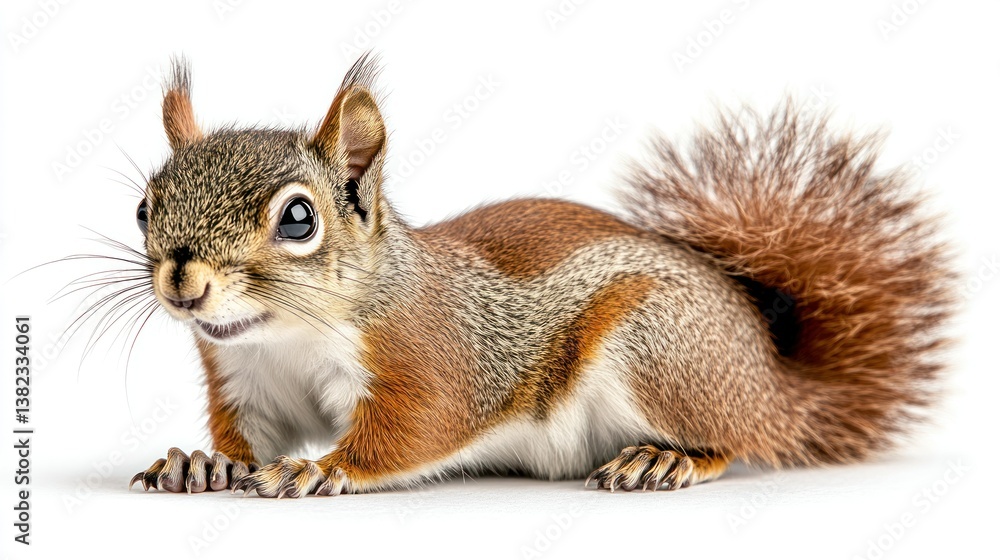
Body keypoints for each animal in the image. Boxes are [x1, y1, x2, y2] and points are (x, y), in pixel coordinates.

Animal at [127, 55, 954, 497]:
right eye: (144, 206)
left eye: (299, 220)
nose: (183, 281)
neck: (285, 335)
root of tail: (772, 383)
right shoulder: (245, 382)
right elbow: (246, 438)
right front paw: (202, 462)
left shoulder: (431, 361)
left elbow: (410, 432)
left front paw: (320, 470)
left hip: (659, 347)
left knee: (728, 437)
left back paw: (666, 458)